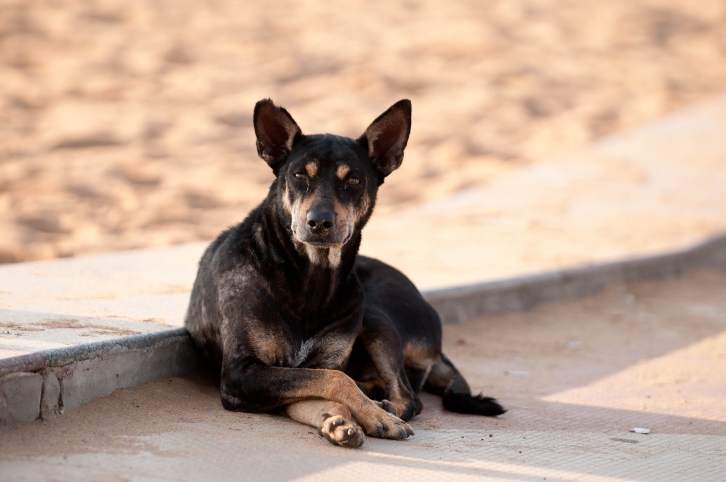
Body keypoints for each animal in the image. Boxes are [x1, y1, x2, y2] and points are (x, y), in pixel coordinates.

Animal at [186, 99, 506, 448]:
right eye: (299, 175)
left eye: (352, 181)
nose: (319, 221)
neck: (309, 279)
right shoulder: (242, 374)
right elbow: (332, 383)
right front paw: (342, 420)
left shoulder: (303, 367)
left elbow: (333, 378)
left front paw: (368, 416)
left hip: (374, 314)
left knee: (410, 397)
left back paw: (386, 406)